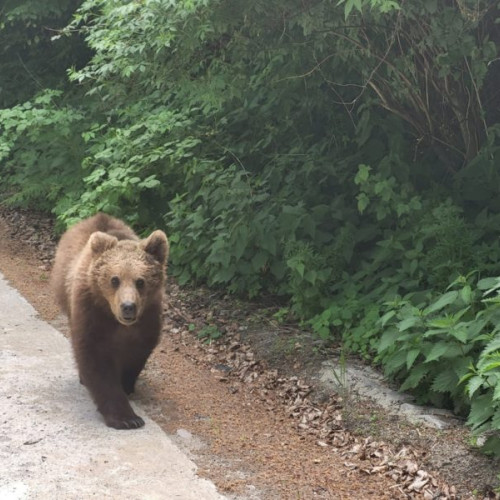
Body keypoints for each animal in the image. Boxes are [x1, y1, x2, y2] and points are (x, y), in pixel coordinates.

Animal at [51, 212, 169, 430]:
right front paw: (127, 418)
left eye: (140, 281)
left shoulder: (148, 316)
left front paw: (127, 384)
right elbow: (96, 358)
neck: (117, 321)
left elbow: (137, 352)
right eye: (115, 279)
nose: (128, 306)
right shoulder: (91, 310)